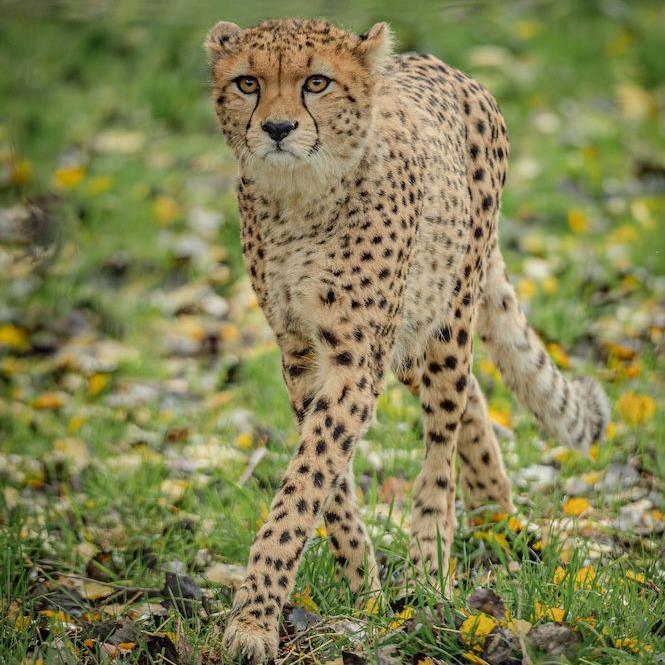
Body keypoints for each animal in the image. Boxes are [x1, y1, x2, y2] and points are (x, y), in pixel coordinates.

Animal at [204, 18, 610, 663]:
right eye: (248, 82)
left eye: (316, 82)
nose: (276, 128)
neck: (302, 197)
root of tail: (447, 67)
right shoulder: (302, 353)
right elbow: (324, 481)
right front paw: (361, 586)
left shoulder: (355, 358)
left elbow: (304, 483)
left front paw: (253, 621)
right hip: (413, 330)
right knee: (471, 397)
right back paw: (495, 516)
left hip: (449, 314)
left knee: (443, 437)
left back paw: (431, 566)